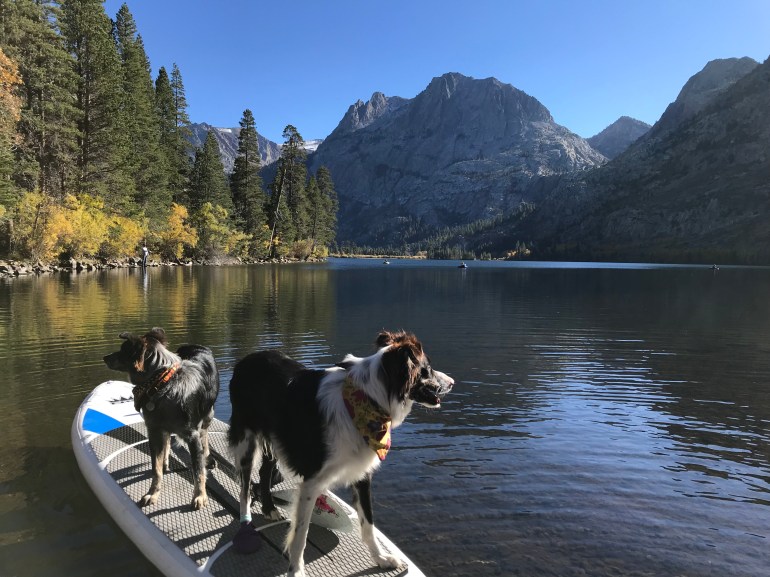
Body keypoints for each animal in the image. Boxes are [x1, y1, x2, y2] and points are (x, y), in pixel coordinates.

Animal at [103, 327, 220, 510]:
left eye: (123, 350)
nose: (105, 357)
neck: (163, 385)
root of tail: (195, 346)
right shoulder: (154, 431)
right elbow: (156, 469)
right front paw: (153, 493)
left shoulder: (192, 436)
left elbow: (198, 470)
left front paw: (200, 496)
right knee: (168, 441)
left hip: (208, 414)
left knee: (205, 435)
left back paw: (206, 456)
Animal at [227, 330, 453, 577]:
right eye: (427, 369)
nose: (452, 382)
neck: (368, 400)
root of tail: (246, 359)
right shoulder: (311, 481)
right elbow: (300, 535)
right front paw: (295, 570)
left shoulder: (362, 474)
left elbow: (368, 523)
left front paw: (380, 559)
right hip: (246, 440)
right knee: (245, 487)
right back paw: (246, 523)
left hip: (276, 438)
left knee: (265, 471)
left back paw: (269, 508)